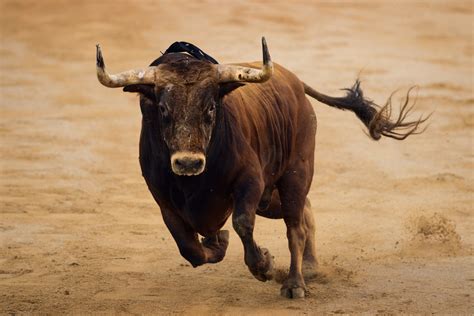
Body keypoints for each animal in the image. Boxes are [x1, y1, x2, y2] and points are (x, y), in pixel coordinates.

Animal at [96, 38, 430, 298]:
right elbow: (189, 248)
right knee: (306, 212)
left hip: (296, 174)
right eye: (163, 109)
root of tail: (295, 83)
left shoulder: (250, 181)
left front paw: (264, 265)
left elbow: (242, 223)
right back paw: (310, 267)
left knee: (295, 226)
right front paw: (218, 243)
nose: (188, 163)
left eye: (211, 108)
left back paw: (295, 283)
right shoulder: (162, 198)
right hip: (271, 199)